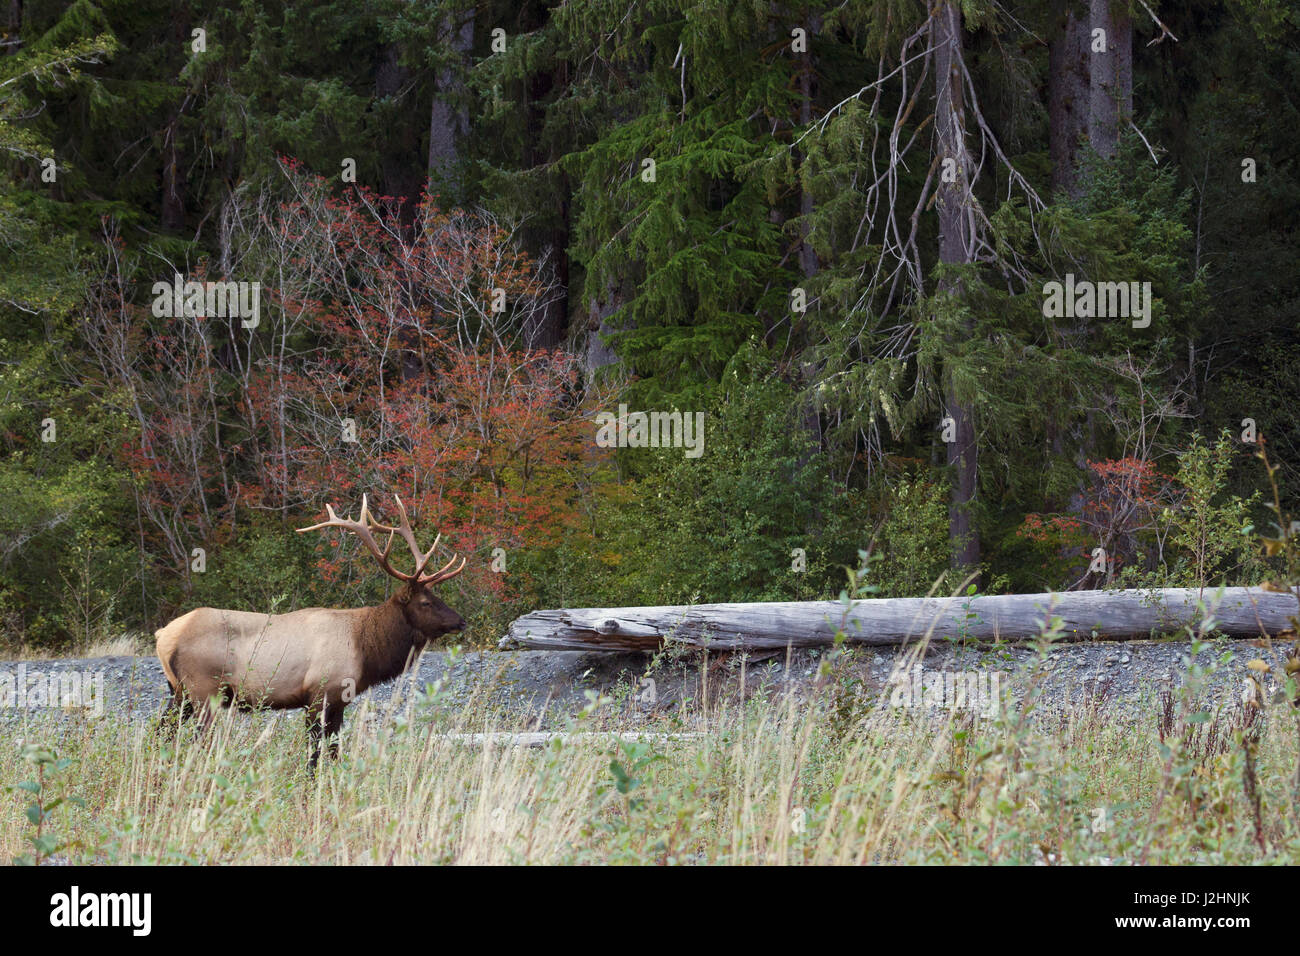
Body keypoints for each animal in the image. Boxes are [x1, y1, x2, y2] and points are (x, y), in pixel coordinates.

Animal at [154, 494, 467, 770]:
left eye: (437, 596)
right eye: (426, 602)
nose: (461, 621)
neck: (366, 647)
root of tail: (163, 636)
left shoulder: (340, 701)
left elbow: (334, 750)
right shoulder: (319, 693)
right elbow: (314, 753)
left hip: (179, 692)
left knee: (161, 733)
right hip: (204, 690)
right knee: (195, 740)